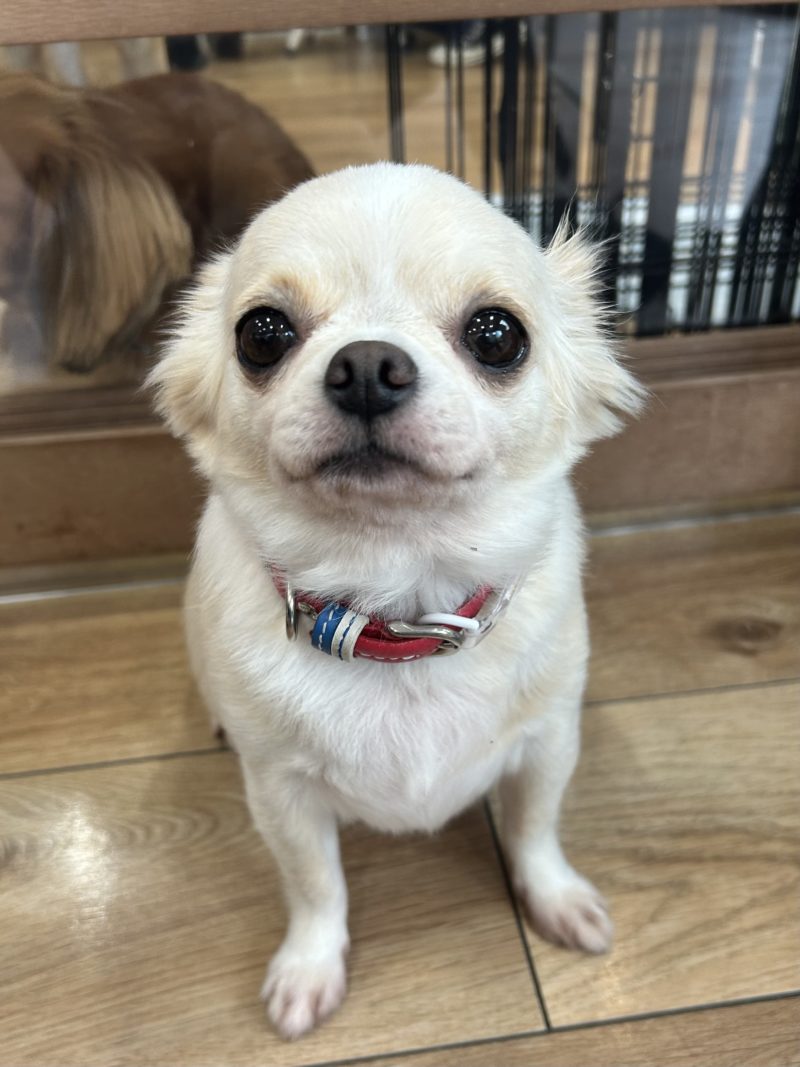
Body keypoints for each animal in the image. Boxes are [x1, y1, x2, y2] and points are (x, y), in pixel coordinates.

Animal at [149, 162, 644, 1040]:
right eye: (262, 333)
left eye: (496, 334)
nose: (369, 365)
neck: (397, 604)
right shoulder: (280, 794)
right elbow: (316, 886)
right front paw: (310, 967)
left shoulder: (548, 742)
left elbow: (534, 830)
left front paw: (555, 899)